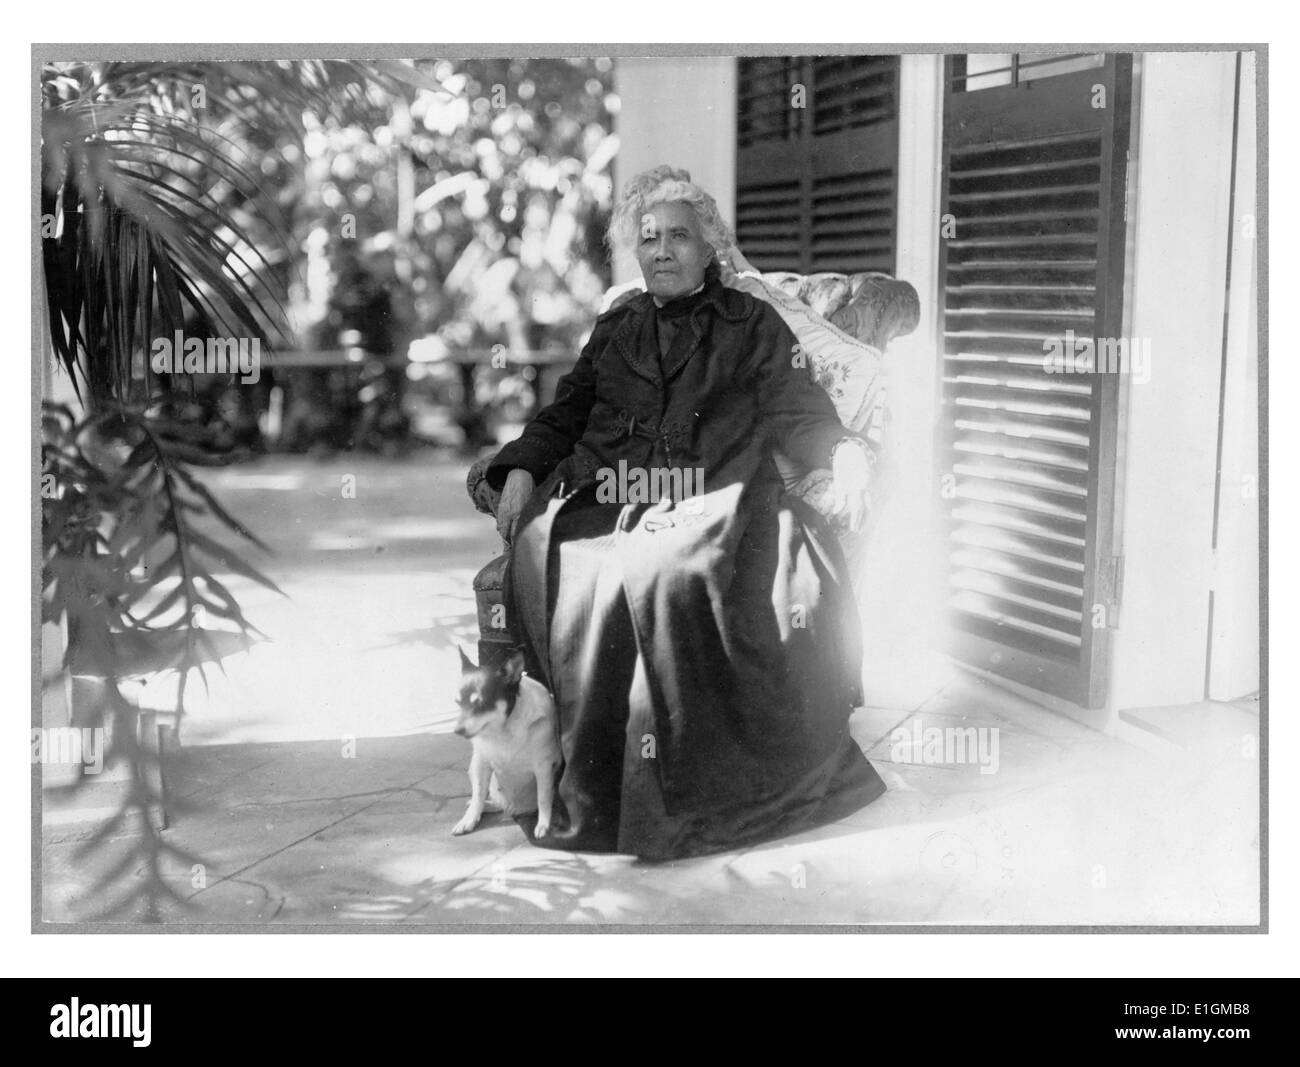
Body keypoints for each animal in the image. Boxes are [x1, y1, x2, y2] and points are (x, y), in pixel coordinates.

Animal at [452, 644, 559, 836]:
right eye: (458, 702)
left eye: (481, 704)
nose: (457, 730)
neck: (502, 731)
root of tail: (512, 809)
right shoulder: (481, 765)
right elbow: (478, 794)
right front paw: (469, 820)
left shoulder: (544, 768)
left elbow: (543, 798)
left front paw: (543, 824)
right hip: (475, 768)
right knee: (487, 800)